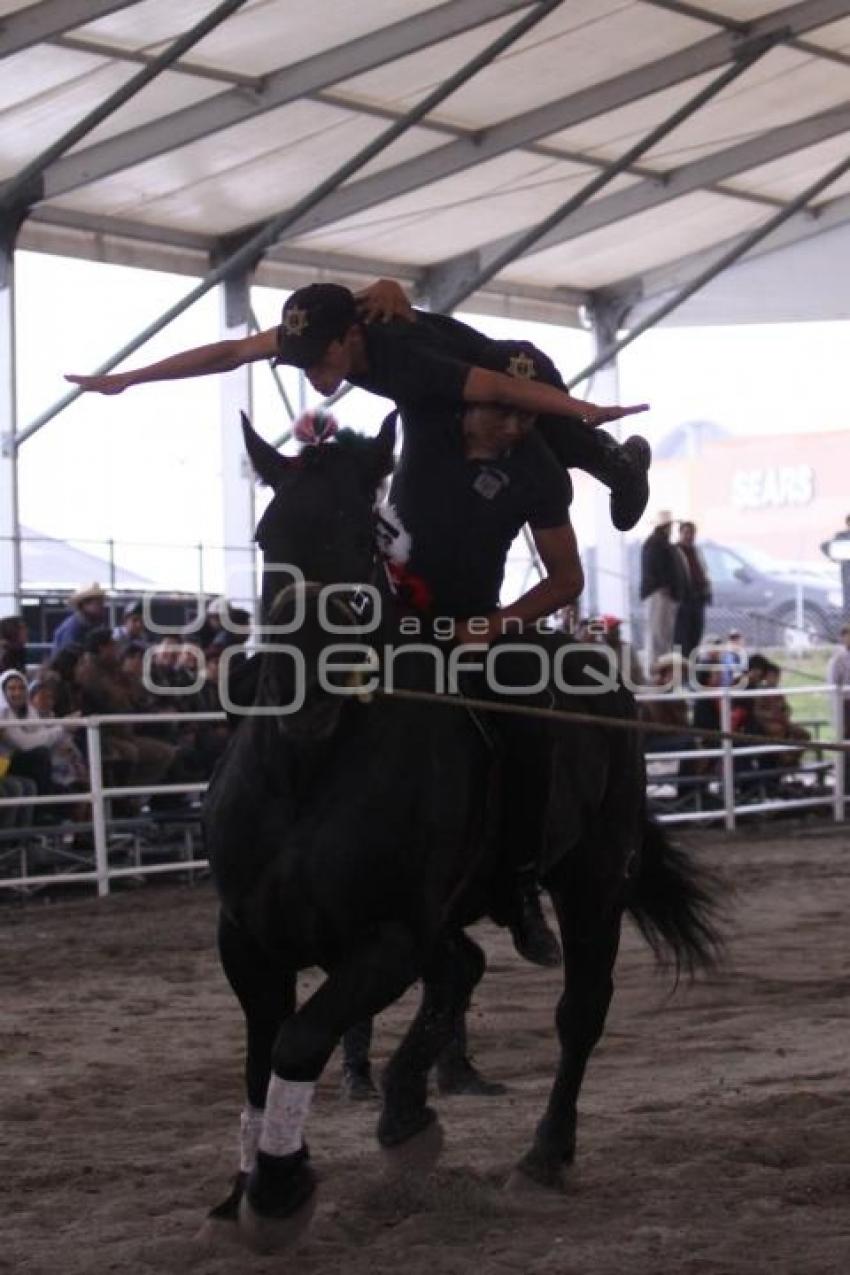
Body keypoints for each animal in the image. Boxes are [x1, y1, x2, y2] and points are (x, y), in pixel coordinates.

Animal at [202, 413, 723, 1249]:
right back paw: (408, 1111)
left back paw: (542, 1154)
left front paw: (280, 1190)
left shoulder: (388, 936)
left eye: (362, 536)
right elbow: (260, 1057)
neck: (310, 767)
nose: (304, 683)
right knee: (463, 968)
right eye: (266, 534)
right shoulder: (247, 937)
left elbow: (298, 1040)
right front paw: (245, 1184)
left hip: (593, 879)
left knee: (579, 1009)